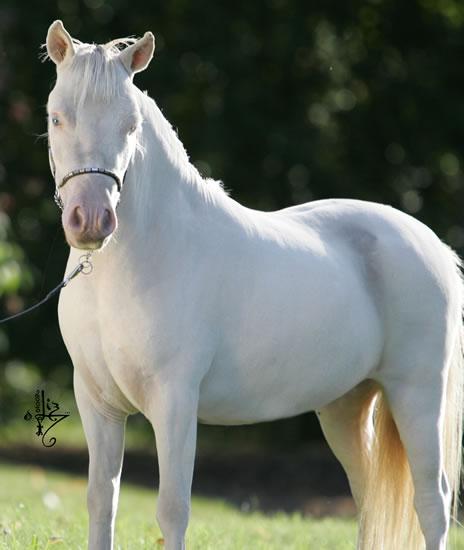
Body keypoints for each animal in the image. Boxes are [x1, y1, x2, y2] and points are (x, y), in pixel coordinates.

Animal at [45, 20, 462, 550]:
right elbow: (102, 503)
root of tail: (435, 246)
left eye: (130, 126)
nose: (93, 221)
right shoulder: (97, 403)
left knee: (432, 501)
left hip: (417, 396)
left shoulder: (175, 403)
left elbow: (172, 510)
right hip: (345, 407)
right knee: (368, 497)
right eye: (57, 118)